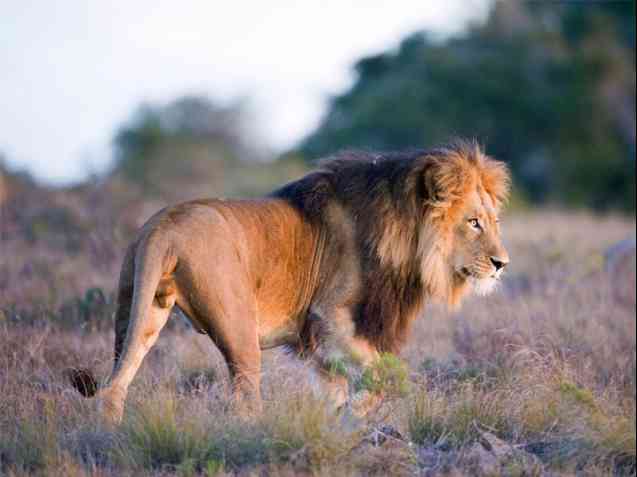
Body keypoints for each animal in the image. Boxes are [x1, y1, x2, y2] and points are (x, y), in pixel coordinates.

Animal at [69, 139, 510, 422]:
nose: (501, 263)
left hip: (139, 312)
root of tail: (165, 224)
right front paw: (356, 416)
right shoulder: (327, 318)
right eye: (473, 222)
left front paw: (338, 425)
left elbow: (340, 390)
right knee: (245, 398)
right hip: (239, 328)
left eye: (494, 222)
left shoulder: (324, 346)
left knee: (115, 384)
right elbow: (384, 374)